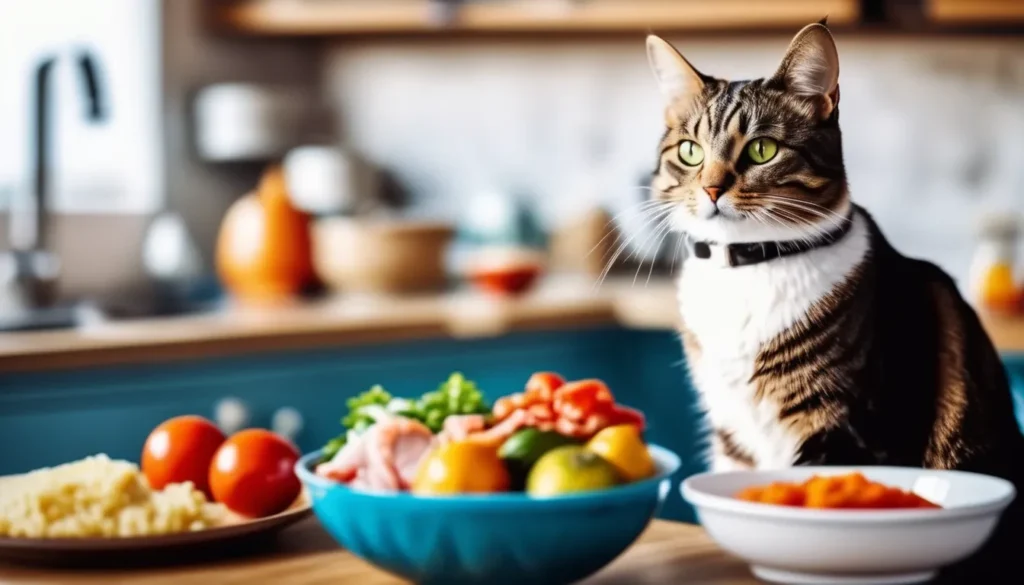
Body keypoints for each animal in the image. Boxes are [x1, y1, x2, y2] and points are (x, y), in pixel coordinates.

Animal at [647, 21, 1024, 577]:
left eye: (762, 150)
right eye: (691, 151)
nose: (712, 189)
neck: (749, 267)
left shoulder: (854, 423)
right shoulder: (732, 434)